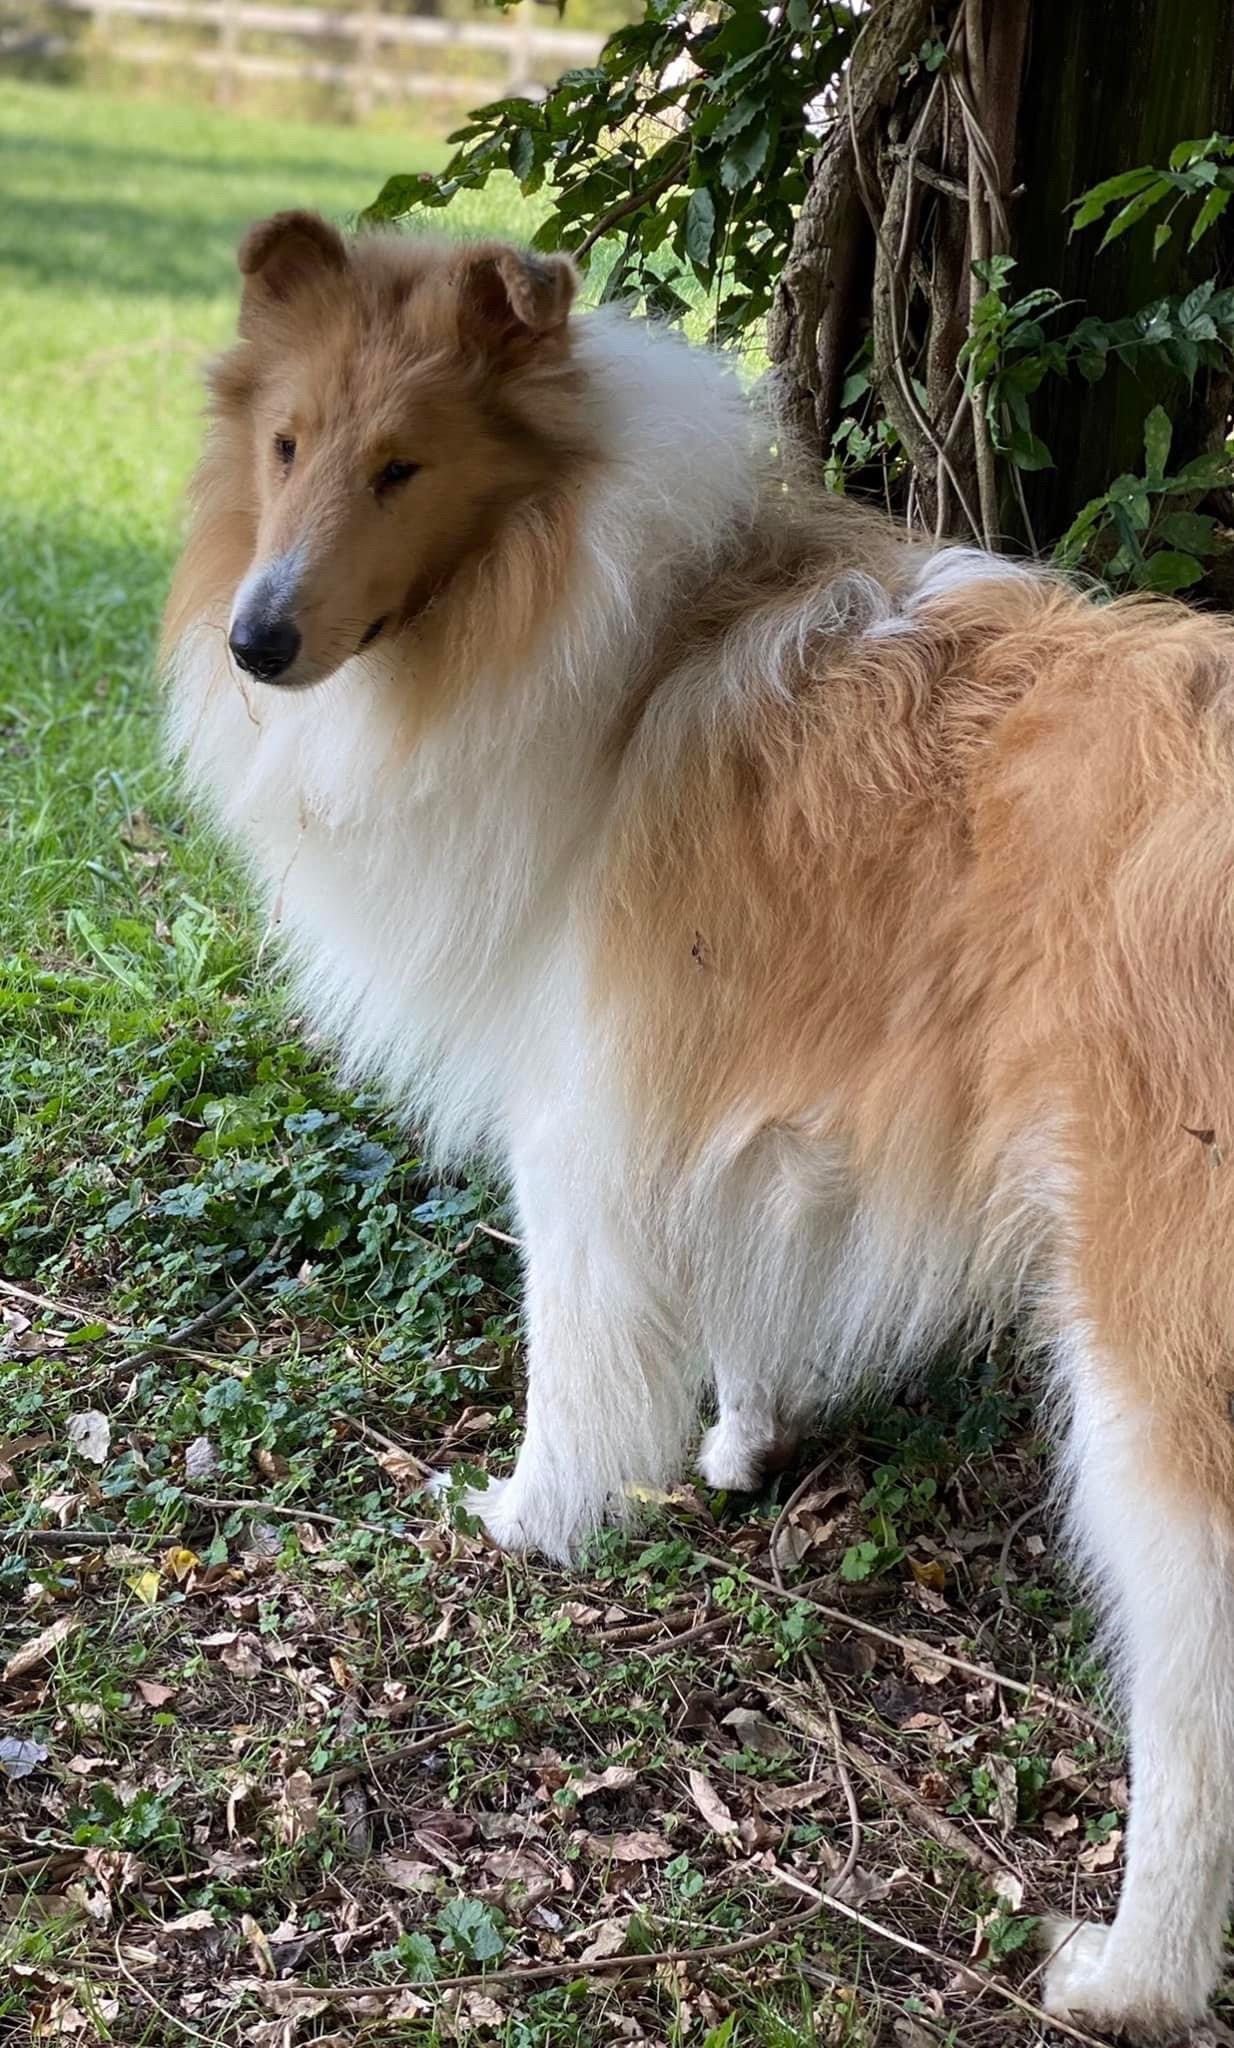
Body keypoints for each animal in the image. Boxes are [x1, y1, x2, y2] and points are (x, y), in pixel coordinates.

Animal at [164, 210, 1234, 2040]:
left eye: (401, 466)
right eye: (287, 444)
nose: (258, 642)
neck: (602, 614)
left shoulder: (582, 1114)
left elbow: (577, 1350)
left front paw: (535, 1516)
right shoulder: (740, 1091)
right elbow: (750, 1283)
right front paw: (744, 1443)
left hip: (1152, 1361)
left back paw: (1129, 1972)